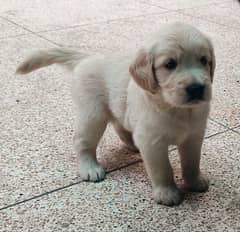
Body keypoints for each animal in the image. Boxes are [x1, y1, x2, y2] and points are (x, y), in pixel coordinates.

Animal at [16, 22, 216, 206]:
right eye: (170, 64)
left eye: (204, 60)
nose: (196, 88)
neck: (176, 108)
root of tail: (88, 57)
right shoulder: (152, 142)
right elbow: (162, 169)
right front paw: (167, 193)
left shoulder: (194, 137)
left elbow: (192, 162)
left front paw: (194, 182)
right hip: (93, 115)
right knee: (82, 141)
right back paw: (89, 167)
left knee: (120, 126)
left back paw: (132, 145)